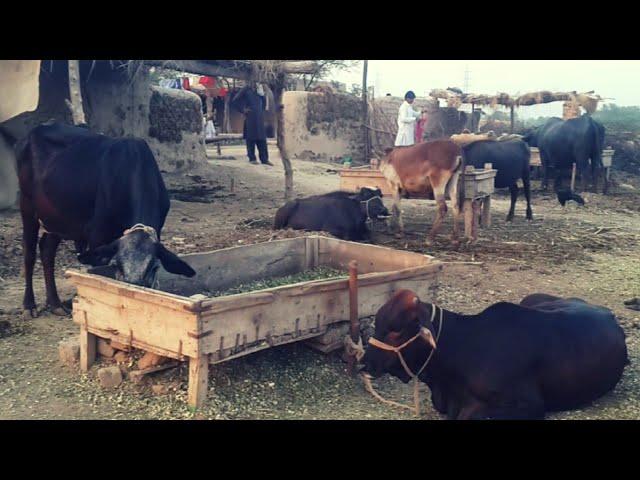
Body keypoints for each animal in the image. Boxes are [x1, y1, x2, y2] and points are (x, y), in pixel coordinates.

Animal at [15, 123, 195, 318]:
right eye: (116, 265)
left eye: (154, 267)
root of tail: (34, 131)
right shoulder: (97, 235)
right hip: (27, 206)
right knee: (29, 253)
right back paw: (29, 305)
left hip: (56, 218)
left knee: (47, 250)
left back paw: (55, 304)